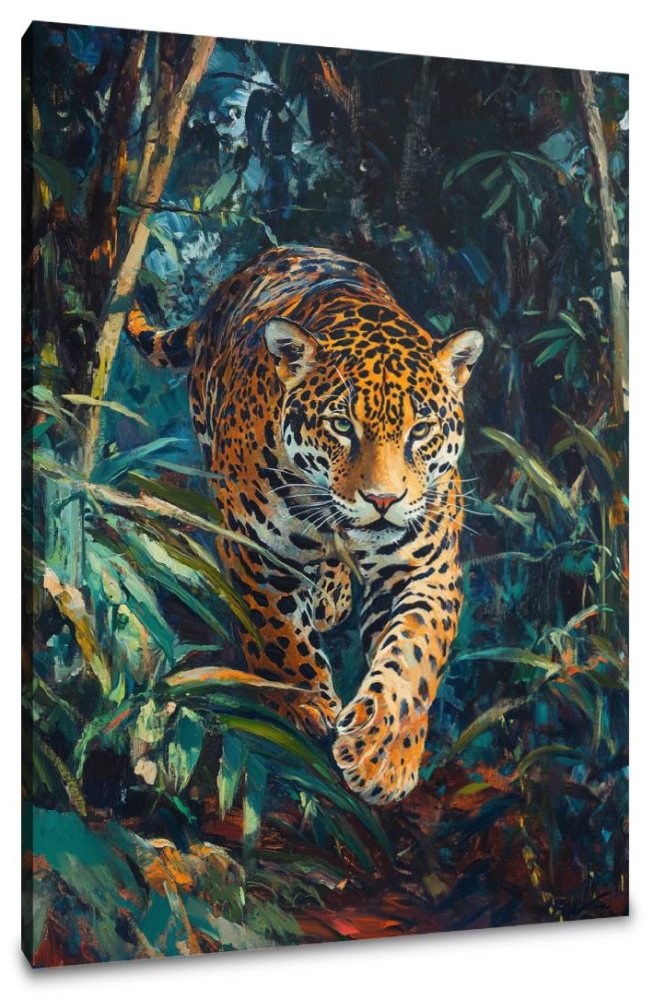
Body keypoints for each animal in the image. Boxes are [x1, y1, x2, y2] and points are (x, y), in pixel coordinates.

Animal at [126, 244, 483, 805]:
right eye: (341, 426)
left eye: (420, 430)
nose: (383, 500)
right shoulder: (254, 551)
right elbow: (277, 632)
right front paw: (303, 704)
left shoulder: (425, 570)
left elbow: (413, 653)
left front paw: (382, 756)